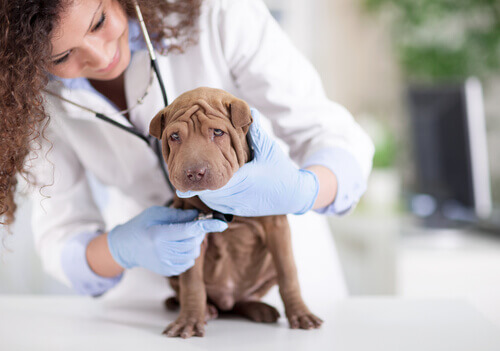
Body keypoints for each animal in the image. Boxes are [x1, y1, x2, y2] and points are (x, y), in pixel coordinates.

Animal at [148, 87, 322, 338]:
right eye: (175, 137)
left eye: (218, 132)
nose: (194, 173)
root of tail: (226, 303)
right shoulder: (191, 234)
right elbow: (192, 283)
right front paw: (189, 319)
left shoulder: (277, 227)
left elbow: (288, 273)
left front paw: (300, 313)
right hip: (172, 267)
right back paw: (206, 308)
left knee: (245, 298)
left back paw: (258, 308)